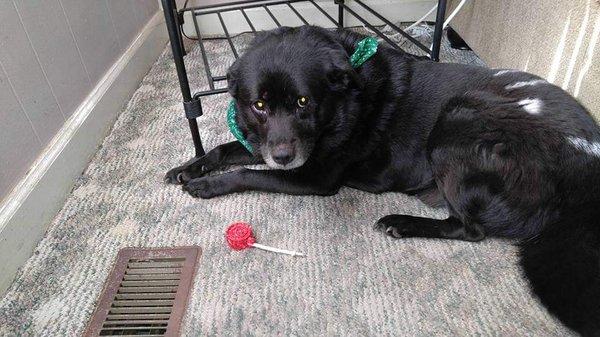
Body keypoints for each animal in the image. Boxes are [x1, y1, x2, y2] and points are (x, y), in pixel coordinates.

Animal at [164, 25, 600, 334]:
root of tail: (586, 165)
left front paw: (207, 185)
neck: (345, 99)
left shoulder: (315, 177)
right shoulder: (267, 144)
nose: (284, 157)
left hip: (457, 122)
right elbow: (225, 150)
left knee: (468, 228)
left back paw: (402, 223)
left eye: (304, 101)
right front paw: (190, 166)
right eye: (259, 105)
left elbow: (247, 172)